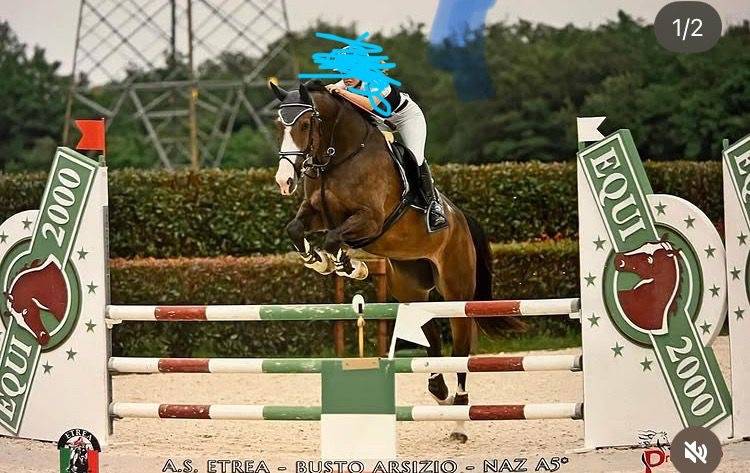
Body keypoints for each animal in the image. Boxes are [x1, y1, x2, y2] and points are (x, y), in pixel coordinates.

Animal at [270, 81, 521, 443]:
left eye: (304, 125)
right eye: (279, 125)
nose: (284, 181)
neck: (338, 157)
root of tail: (461, 219)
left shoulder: (370, 220)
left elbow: (334, 238)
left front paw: (349, 266)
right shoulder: (315, 213)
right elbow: (296, 229)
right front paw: (319, 262)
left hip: (456, 290)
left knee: (461, 349)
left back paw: (459, 418)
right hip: (412, 287)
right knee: (430, 335)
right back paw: (439, 390)